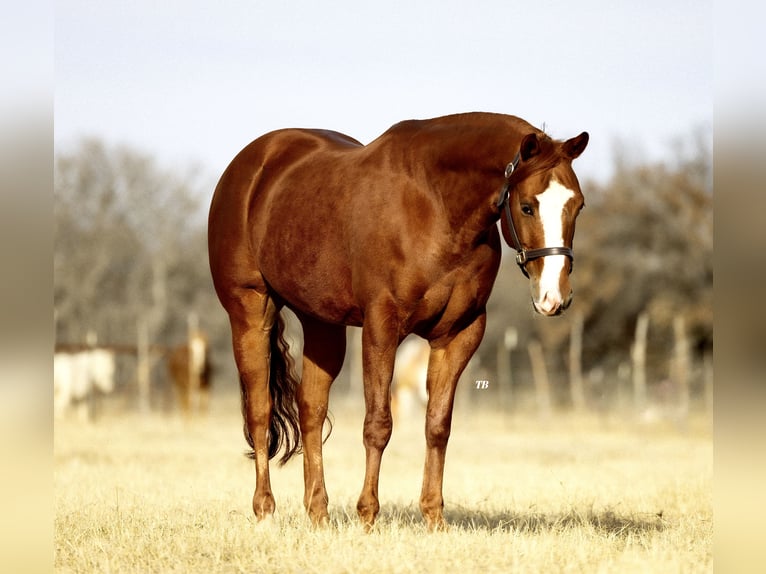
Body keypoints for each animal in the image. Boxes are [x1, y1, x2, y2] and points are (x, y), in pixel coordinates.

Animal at [207, 111, 592, 532]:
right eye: (526, 207)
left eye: (578, 206)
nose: (554, 297)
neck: (436, 207)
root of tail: (251, 166)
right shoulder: (381, 327)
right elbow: (378, 424)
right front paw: (368, 516)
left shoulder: (459, 335)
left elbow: (437, 425)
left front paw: (434, 518)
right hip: (250, 312)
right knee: (259, 411)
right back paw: (264, 509)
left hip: (322, 323)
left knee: (311, 410)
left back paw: (319, 513)